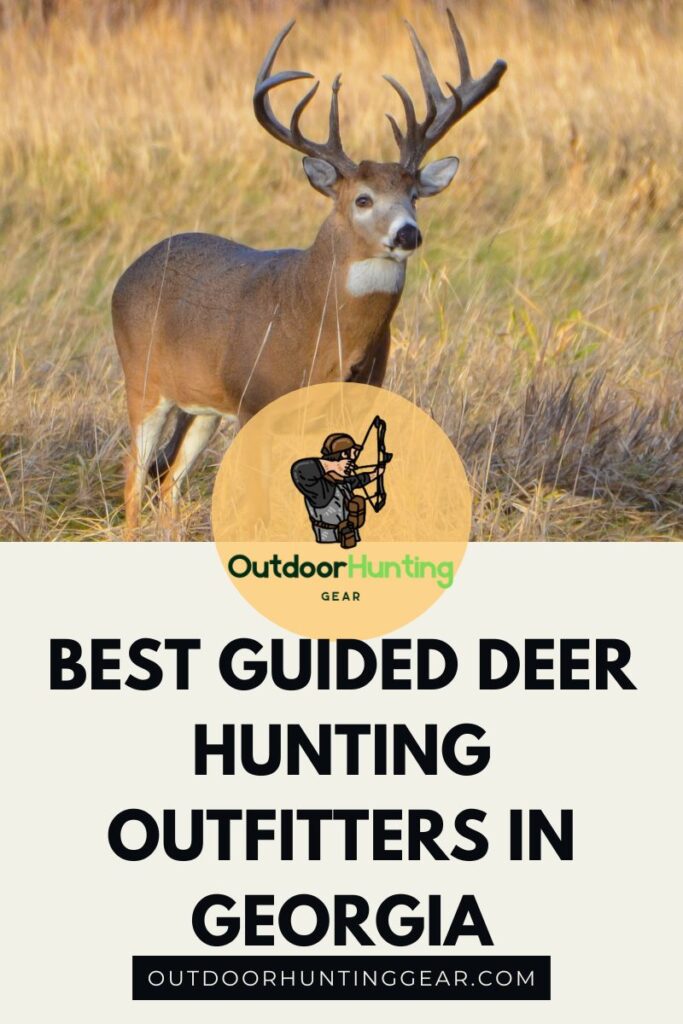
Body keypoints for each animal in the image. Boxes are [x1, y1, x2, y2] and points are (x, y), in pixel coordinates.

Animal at [113, 8, 507, 532]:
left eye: (414, 196)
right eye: (363, 199)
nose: (407, 234)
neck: (319, 324)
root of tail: (126, 274)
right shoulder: (255, 398)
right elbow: (259, 506)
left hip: (202, 406)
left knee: (169, 479)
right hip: (144, 379)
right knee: (134, 475)